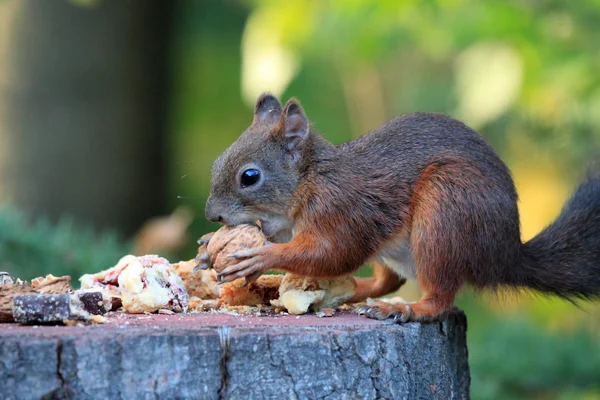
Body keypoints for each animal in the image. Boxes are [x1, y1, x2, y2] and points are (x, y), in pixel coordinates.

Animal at [200, 93, 600, 322]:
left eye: (250, 177)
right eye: (217, 160)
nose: (212, 215)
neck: (312, 179)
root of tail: (506, 255)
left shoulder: (344, 208)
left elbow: (333, 252)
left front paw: (260, 258)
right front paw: (209, 247)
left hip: (447, 212)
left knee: (439, 299)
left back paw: (404, 309)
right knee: (387, 280)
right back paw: (355, 293)